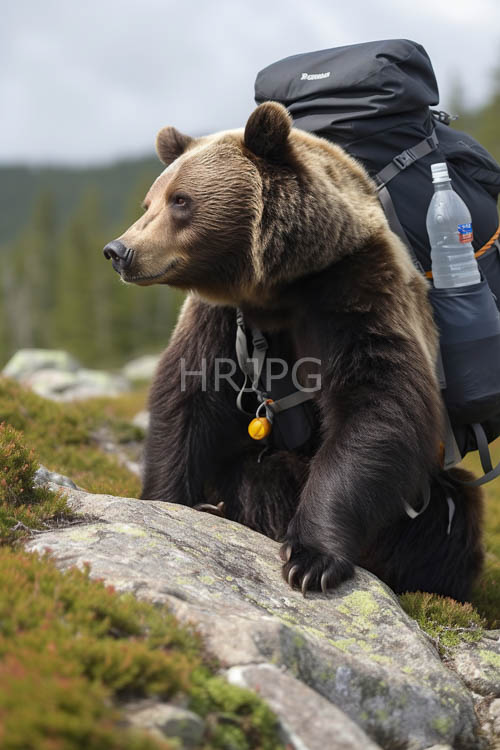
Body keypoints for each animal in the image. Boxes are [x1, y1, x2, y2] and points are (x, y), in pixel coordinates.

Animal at [104, 101, 484, 601]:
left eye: (181, 200)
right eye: (150, 202)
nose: (119, 250)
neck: (277, 289)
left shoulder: (355, 290)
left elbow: (376, 406)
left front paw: (311, 559)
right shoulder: (220, 320)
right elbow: (187, 398)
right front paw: (170, 501)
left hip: (428, 498)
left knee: (449, 520)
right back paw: (221, 509)